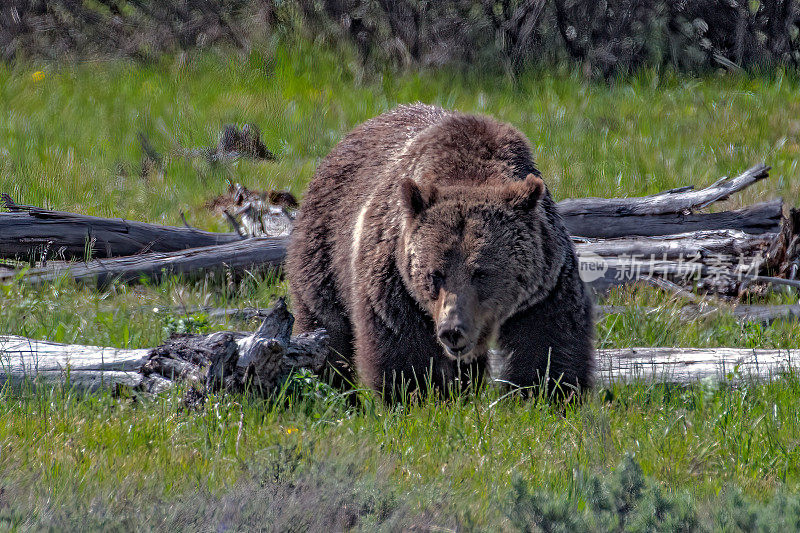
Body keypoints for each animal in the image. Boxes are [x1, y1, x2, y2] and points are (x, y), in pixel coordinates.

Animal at [286, 104, 592, 396]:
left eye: (481, 273)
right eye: (434, 274)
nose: (451, 331)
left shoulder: (545, 282)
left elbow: (548, 341)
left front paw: (547, 391)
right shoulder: (395, 277)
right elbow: (401, 349)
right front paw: (415, 393)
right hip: (324, 250)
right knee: (327, 326)